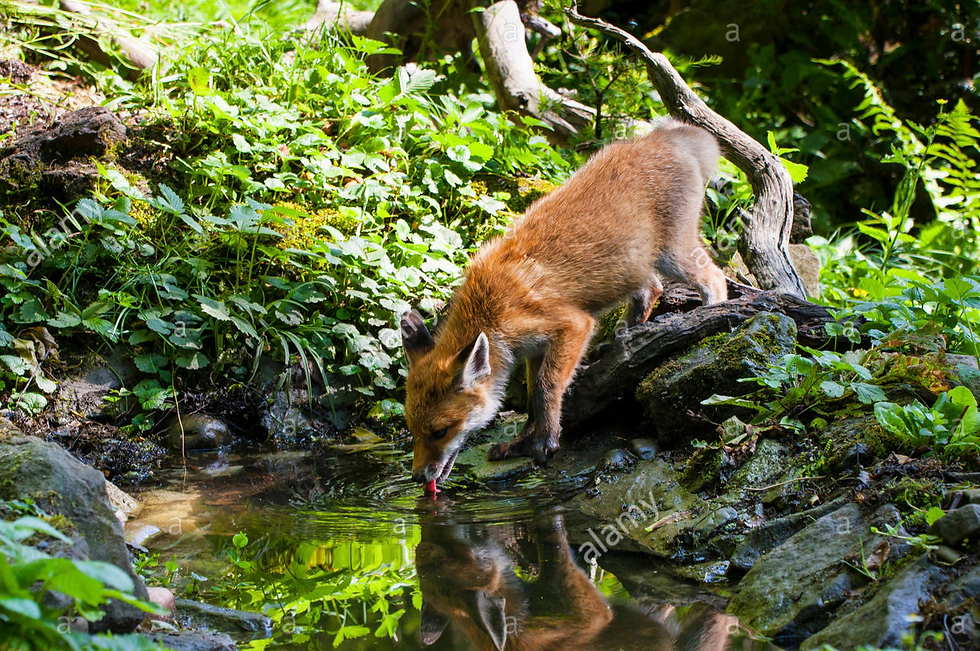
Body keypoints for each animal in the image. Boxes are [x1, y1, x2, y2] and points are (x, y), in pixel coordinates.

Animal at [401, 119, 727, 492]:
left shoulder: (572, 325)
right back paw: (627, 336)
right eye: (412, 430)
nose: (418, 477)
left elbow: (546, 389)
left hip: (674, 254)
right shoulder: (533, 349)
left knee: (715, 278)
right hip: (635, 268)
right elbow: (532, 400)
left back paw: (710, 317)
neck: (489, 309)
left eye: (441, 431)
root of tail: (665, 136)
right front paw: (522, 443)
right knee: (651, 289)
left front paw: (545, 443)